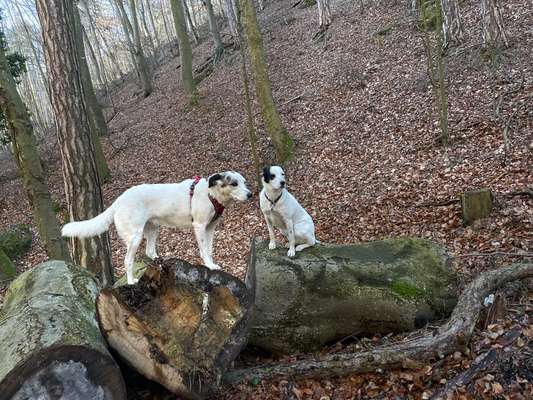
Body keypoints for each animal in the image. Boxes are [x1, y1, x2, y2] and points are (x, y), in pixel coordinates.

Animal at [61, 172, 252, 284]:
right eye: (234, 183)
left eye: (244, 182)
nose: (250, 194)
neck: (211, 194)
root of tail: (118, 201)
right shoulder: (199, 227)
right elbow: (204, 251)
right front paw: (209, 266)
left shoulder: (210, 228)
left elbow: (210, 250)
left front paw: (213, 264)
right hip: (135, 237)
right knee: (128, 261)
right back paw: (131, 281)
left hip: (153, 229)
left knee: (149, 251)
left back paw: (161, 263)